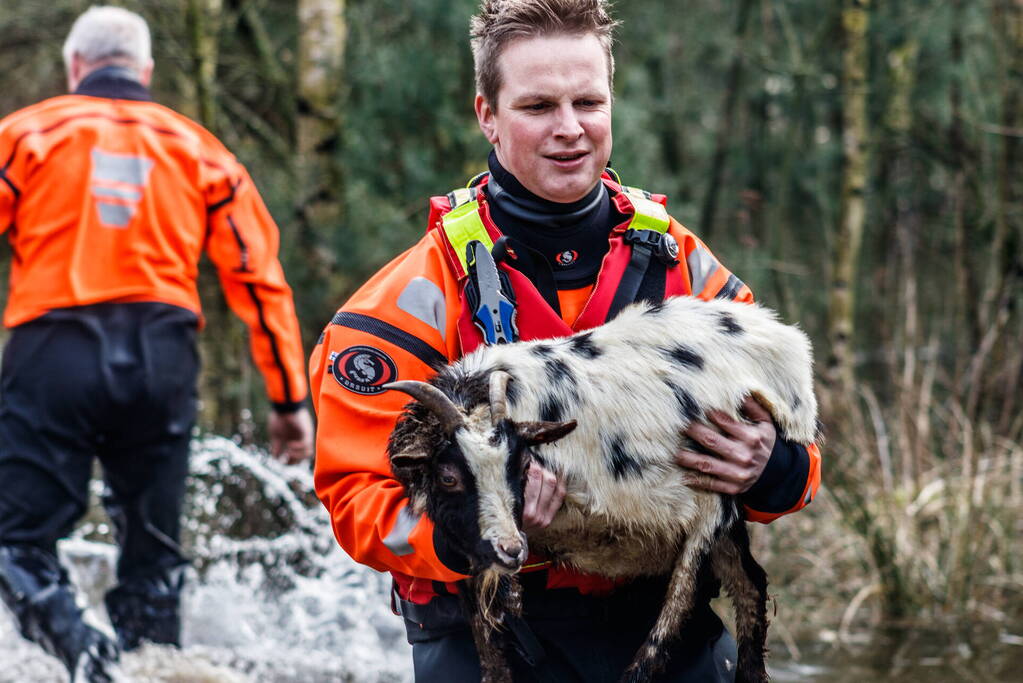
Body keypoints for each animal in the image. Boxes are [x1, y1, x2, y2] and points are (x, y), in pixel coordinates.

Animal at [386, 296, 818, 683]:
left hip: (711, 498)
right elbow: (488, 648)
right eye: (448, 477)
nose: (512, 550)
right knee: (750, 587)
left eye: (522, 467)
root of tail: (788, 342)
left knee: (676, 615)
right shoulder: (469, 552)